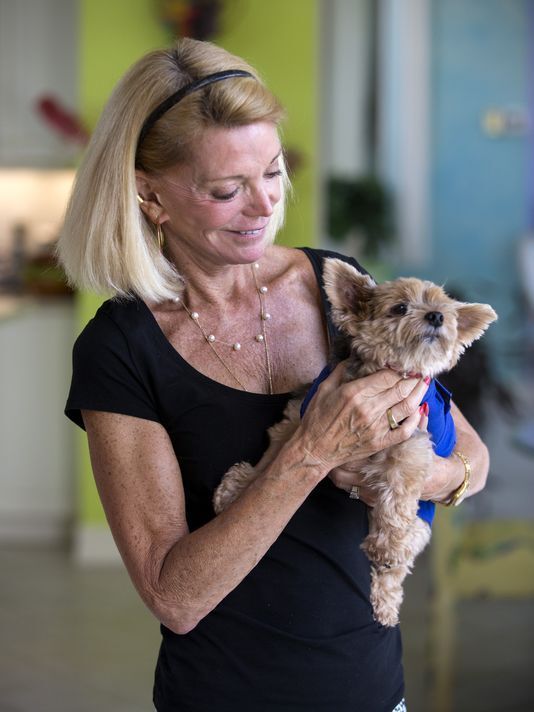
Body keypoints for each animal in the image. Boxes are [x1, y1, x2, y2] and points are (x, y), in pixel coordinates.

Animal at [214, 258, 498, 624]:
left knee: (398, 562)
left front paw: (388, 546)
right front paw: (239, 487)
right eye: (400, 307)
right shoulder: (302, 419)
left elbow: (398, 496)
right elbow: (273, 459)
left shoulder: (410, 445)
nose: (436, 316)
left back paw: (386, 593)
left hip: (420, 526)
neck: (381, 370)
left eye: (445, 312)